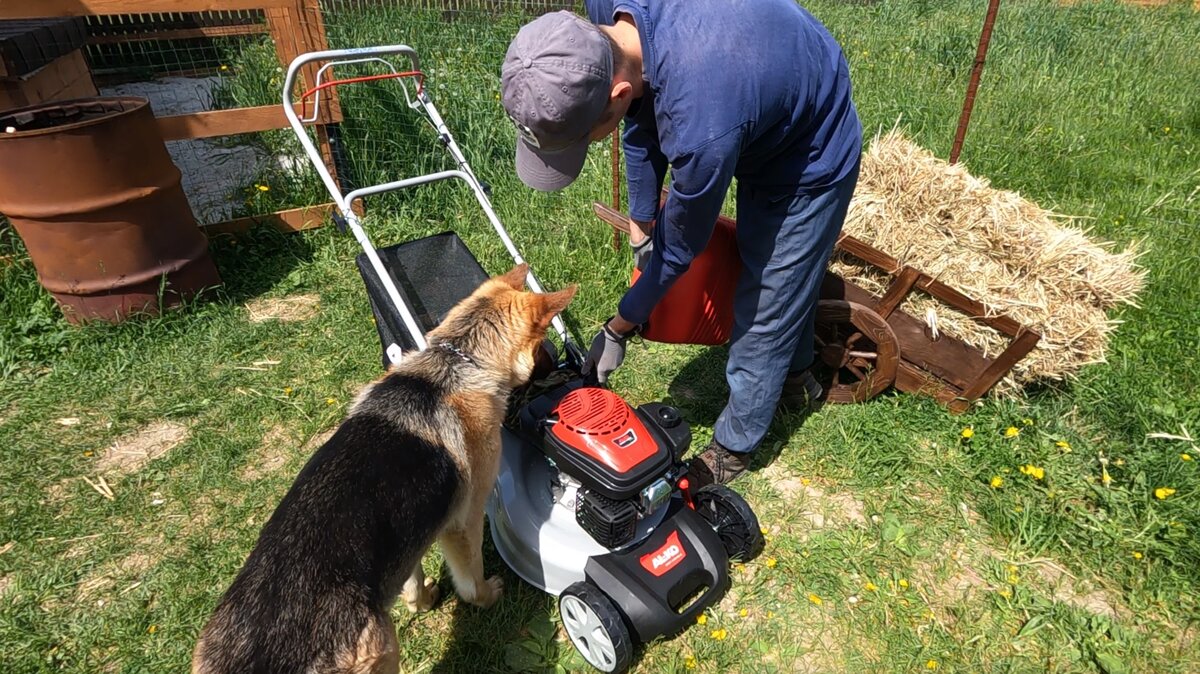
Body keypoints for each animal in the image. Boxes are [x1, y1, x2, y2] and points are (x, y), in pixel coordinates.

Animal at [193, 263, 576, 671]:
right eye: (542, 342)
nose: (561, 366)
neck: (457, 361)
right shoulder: (463, 524)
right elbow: (471, 582)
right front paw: (487, 595)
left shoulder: (409, 536)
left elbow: (411, 578)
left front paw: (420, 601)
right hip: (387, 647)